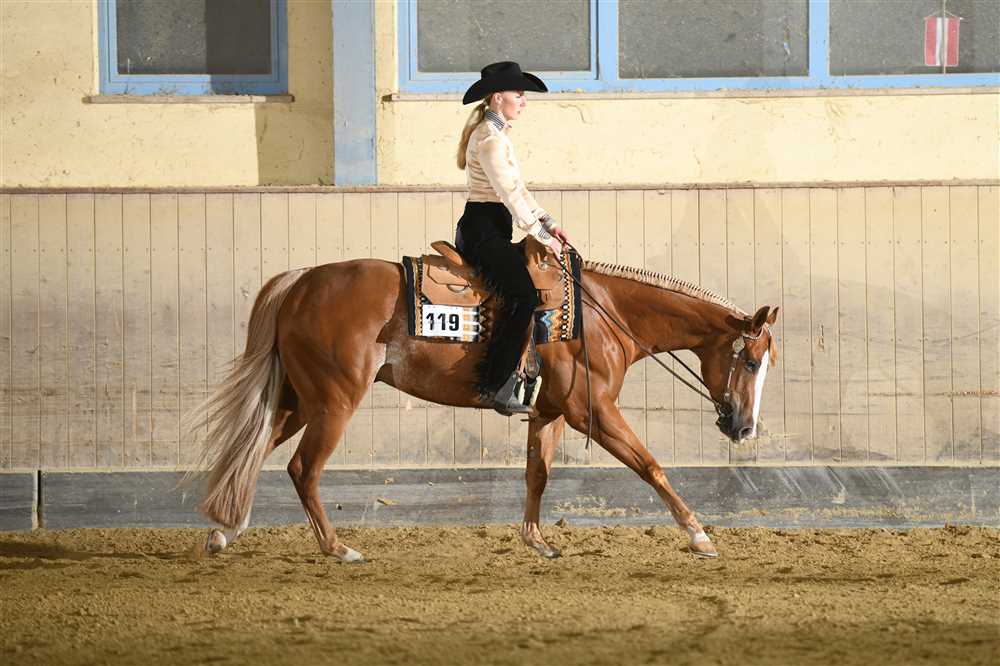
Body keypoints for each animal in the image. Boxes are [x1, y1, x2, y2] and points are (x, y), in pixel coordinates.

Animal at [189, 251, 779, 562]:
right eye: (752, 362)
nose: (745, 428)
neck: (602, 315)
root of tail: (300, 282)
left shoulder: (550, 413)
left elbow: (537, 474)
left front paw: (537, 541)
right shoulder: (593, 412)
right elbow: (651, 466)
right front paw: (699, 535)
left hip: (298, 400)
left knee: (252, 450)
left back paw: (225, 531)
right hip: (333, 402)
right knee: (302, 468)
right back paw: (338, 549)